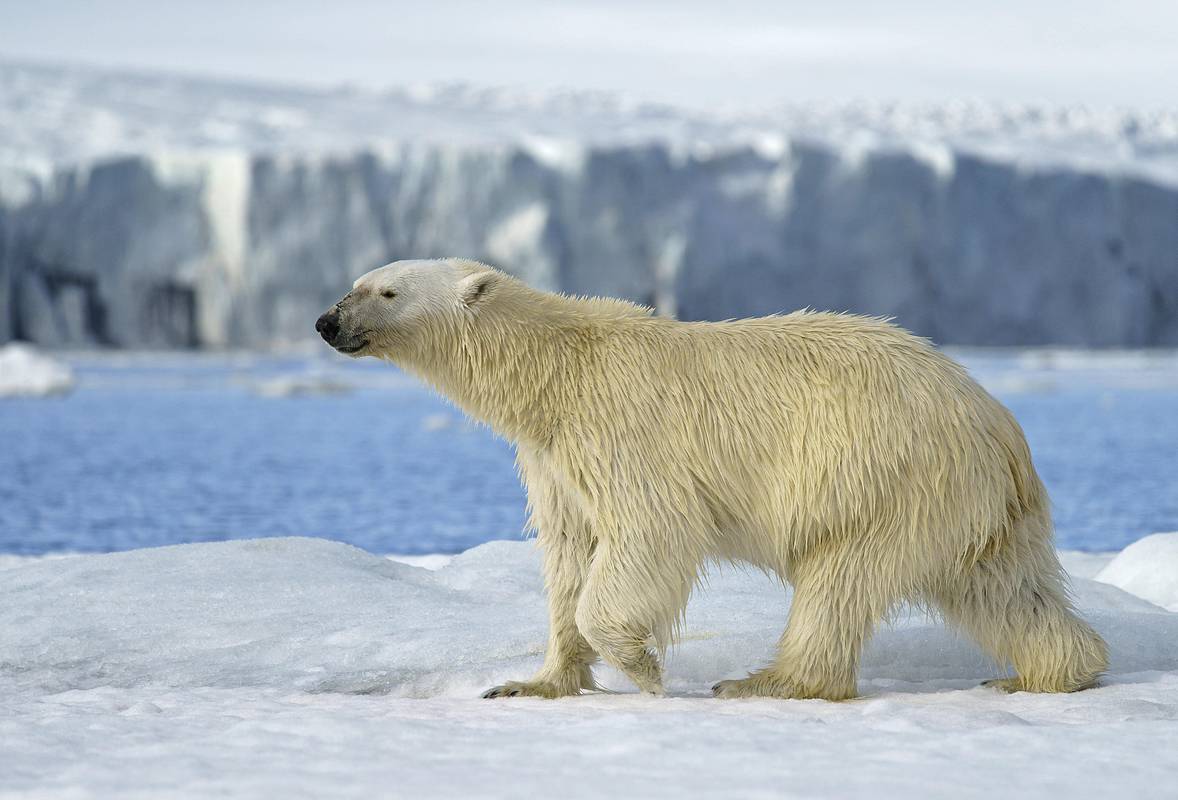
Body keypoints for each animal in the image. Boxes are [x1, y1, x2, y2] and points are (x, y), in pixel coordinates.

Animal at [313, 258, 1102, 702]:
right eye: (354, 283)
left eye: (386, 291)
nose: (324, 321)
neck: (558, 372)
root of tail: (999, 426)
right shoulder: (553, 458)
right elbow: (568, 558)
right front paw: (527, 683)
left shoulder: (621, 430)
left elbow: (649, 533)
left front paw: (644, 667)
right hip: (973, 507)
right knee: (1003, 587)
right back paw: (1045, 670)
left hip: (884, 477)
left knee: (839, 581)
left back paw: (767, 681)